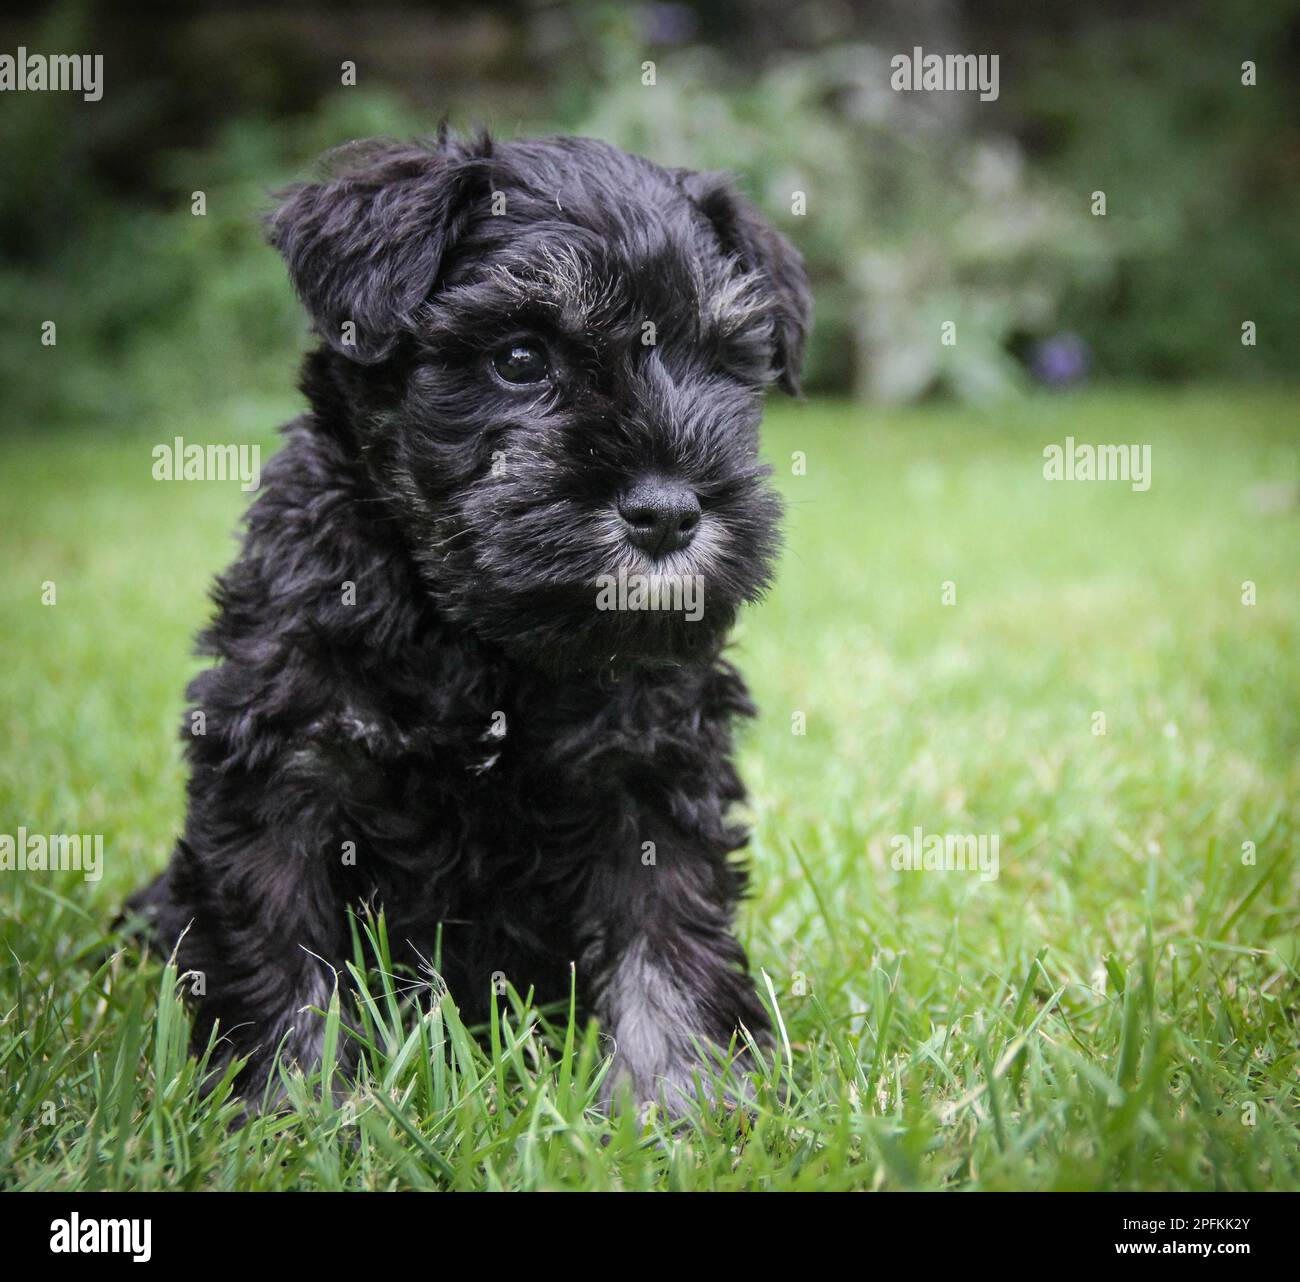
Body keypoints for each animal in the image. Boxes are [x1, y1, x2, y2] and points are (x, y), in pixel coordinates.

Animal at [124, 130, 811, 1107]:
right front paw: (289, 1109)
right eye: (519, 358)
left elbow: (668, 946)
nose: (669, 513)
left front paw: (680, 1102)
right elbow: (282, 958)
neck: (483, 644)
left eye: (718, 360)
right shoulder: (282, 765)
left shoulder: (651, 767)